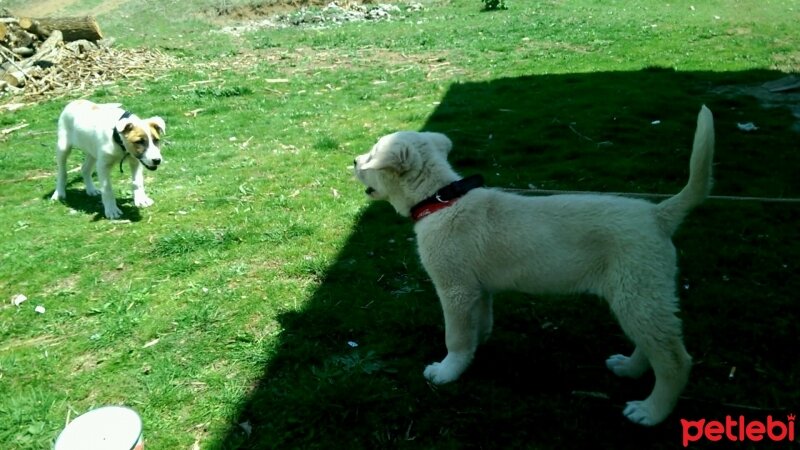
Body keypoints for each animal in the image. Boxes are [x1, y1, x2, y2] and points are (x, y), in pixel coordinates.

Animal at [354, 105, 716, 426]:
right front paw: (476, 346)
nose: (354, 161)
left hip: (636, 291)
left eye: (372, 156)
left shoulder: (454, 289)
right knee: (653, 342)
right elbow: (479, 323)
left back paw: (651, 411)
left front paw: (446, 371)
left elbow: (454, 338)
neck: (441, 200)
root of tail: (658, 214)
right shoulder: (477, 289)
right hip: (641, 294)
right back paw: (629, 368)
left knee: (674, 359)